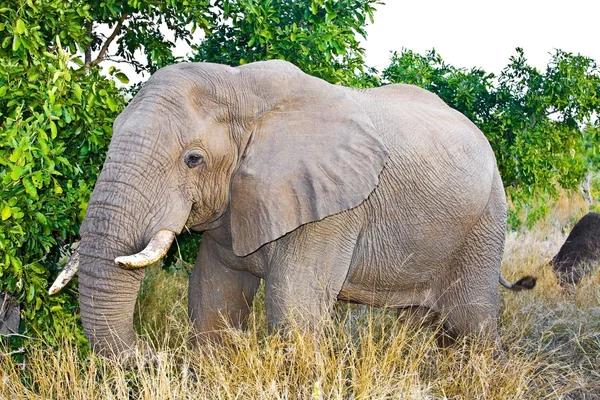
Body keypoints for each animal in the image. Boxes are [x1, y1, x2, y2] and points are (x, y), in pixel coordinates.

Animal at [48, 61, 536, 358]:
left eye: (193, 159)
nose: (152, 356)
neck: (241, 88)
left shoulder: (331, 207)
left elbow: (293, 308)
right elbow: (212, 296)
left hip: (487, 218)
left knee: (473, 320)